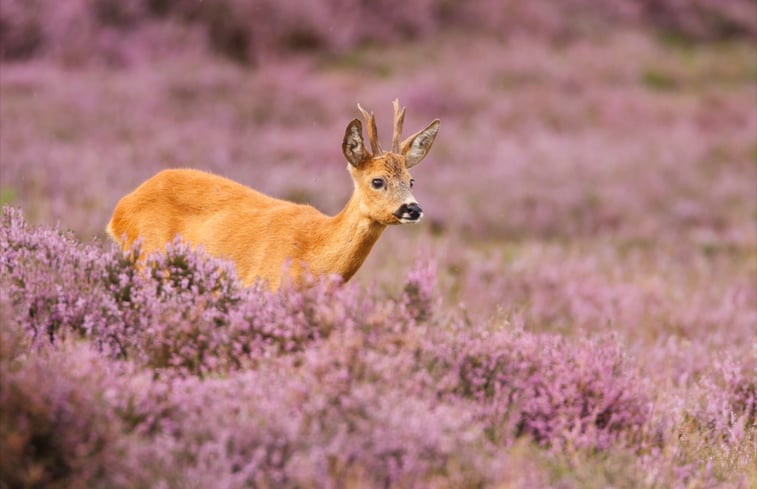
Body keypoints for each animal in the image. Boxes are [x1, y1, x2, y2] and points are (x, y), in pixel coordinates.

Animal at [105, 100, 438, 290]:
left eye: (411, 180)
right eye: (377, 181)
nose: (413, 209)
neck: (312, 259)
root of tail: (119, 210)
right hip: (147, 257)